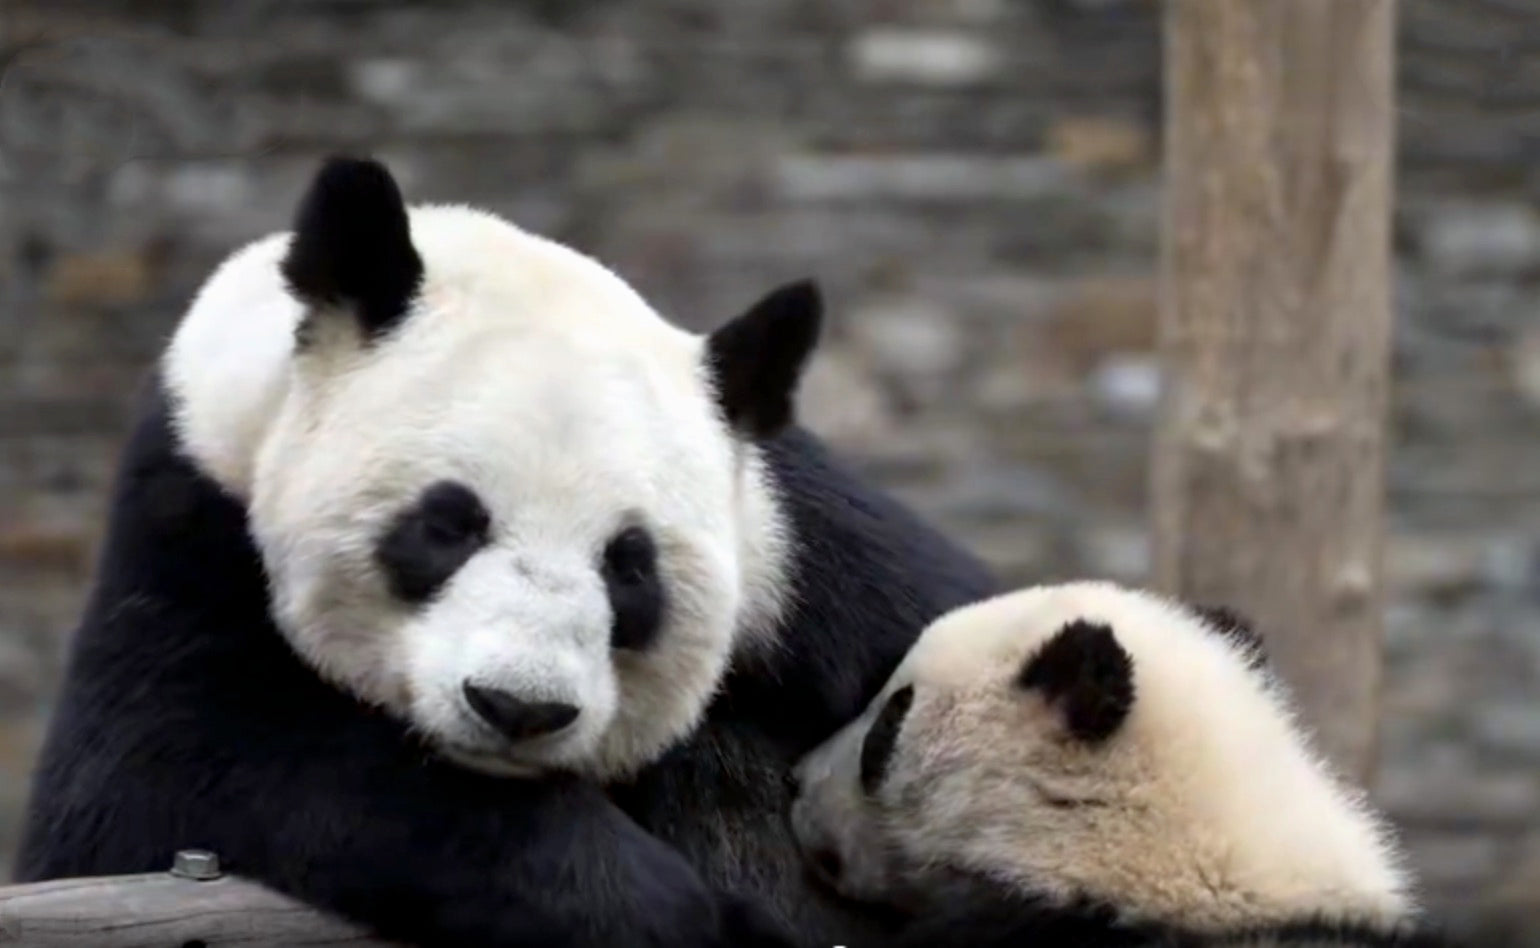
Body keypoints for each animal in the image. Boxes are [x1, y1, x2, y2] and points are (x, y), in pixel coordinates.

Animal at [16, 156, 995, 948]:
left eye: (629, 564)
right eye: (449, 525)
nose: (519, 707)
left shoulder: (806, 561)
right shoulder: (190, 526)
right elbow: (173, 772)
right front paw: (653, 906)